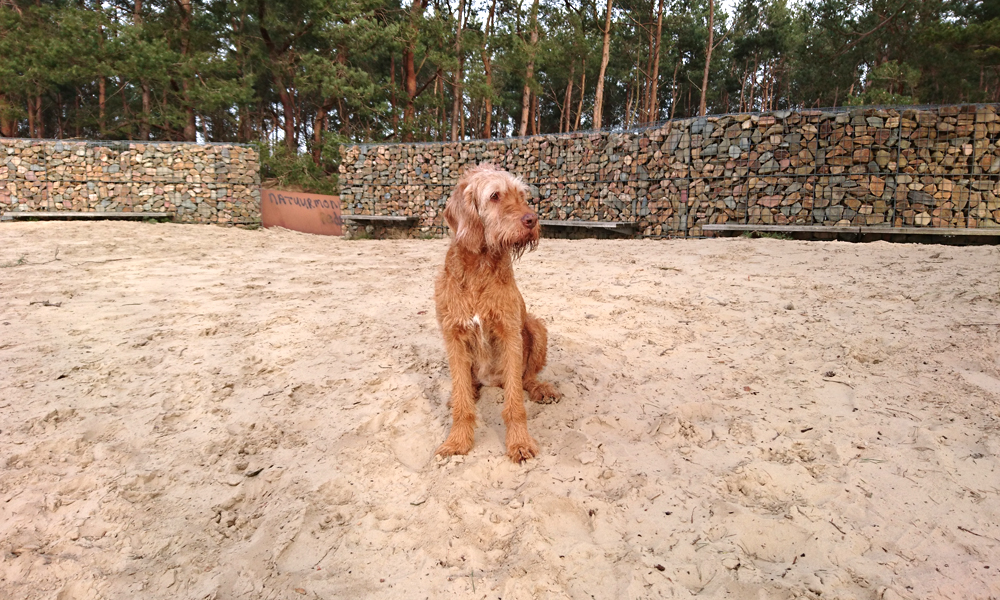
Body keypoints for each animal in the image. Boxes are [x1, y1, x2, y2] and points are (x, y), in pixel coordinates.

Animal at [434, 163, 561, 462]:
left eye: (522, 195)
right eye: (494, 196)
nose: (532, 220)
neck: (479, 265)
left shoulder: (509, 332)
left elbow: (515, 403)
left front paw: (519, 443)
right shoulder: (453, 335)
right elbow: (463, 404)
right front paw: (457, 441)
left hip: (535, 326)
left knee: (526, 378)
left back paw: (540, 388)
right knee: (466, 386)